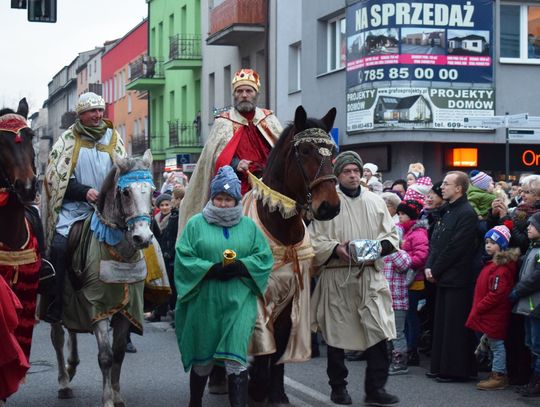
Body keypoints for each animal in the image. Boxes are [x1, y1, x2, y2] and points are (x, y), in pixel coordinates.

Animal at [246, 107, 342, 406]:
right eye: (305, 150)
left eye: (332, 150)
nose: (330, 206)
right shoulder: (260, 297)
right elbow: (263, 344)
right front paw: (257, 389)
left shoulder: (290, 299)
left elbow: (278, 345)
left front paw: (275, 393)